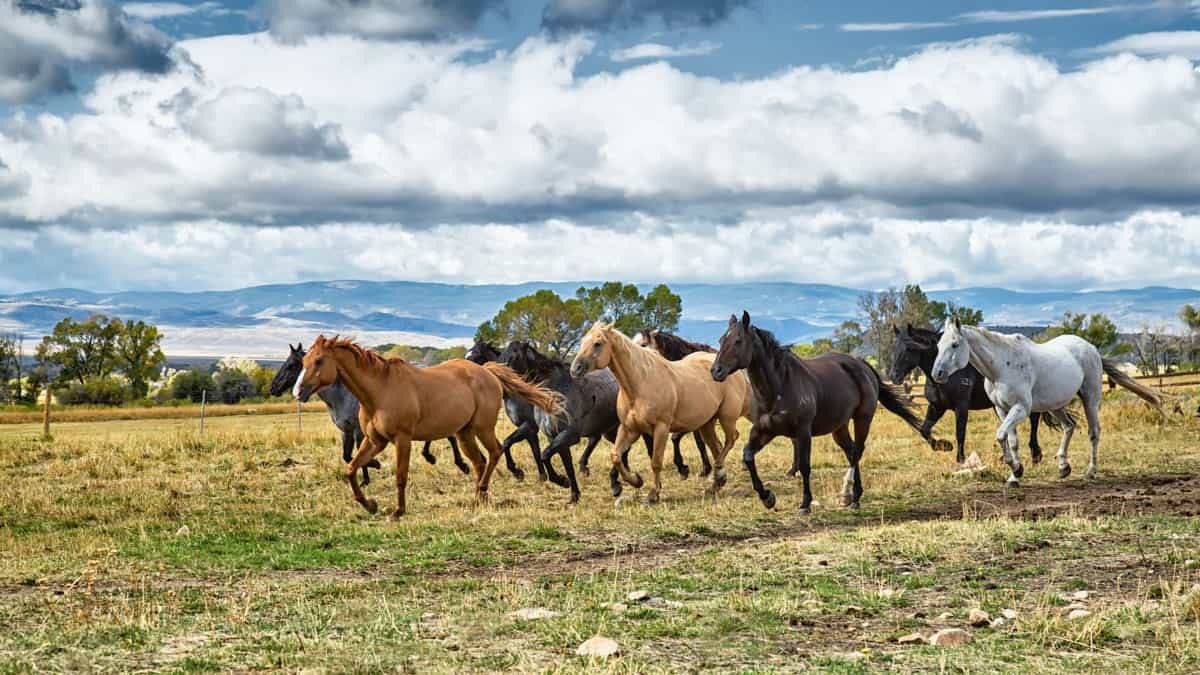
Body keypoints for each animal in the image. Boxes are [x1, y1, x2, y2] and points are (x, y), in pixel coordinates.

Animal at [295, 333, 566, 514]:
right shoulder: (375, 441)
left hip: (482, 428)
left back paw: (487, 489)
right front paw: (370, 505)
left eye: (319, 361)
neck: (379, 390)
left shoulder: (402, 440)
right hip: (464, 433)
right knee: (479, 461)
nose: (298, 391)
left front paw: (398, 511)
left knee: (496, 451)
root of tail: (488, 372)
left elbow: (400, 476)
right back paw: (479, 498)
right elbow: (351, 468)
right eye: (304, 361)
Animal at [571, 321, 748, 504]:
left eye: (597, 343)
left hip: (727, 417)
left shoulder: (661, 428)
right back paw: (717, 481)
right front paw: (636, 481)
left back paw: (718, 473)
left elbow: (656, 461)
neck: (641, 383)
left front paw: (653, 494)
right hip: (706, 423)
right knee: (716, 445)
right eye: (582, 341)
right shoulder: (629, 429)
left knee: (731, 439)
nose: (575, 369)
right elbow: (616, 456)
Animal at [705, 312, 931, 511]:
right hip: (839, 427)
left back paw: (847, 494)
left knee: (857, 451)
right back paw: (854, 498)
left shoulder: (803, 432)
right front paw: (767, 497)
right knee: (851, 451)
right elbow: (748, 456)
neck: (779, 387)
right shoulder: (764, 430)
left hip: (863, 419)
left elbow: (805, 466)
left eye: (738, 341)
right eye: (721, 339)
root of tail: (862, 365)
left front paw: (805, 504)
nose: (716, 371)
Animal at [926, 319, 1161, 482]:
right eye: (938, 345)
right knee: (1069, 426)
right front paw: (1015, 475)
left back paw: (1090, 472)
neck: (1001, 367)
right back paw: (1064, 467)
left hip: (1090, 398)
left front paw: (1016, 468)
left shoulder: (1021, 409)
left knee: (1093, 433)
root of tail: (1092, 348)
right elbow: (1012, 441)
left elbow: (1001, 435)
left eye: (955, 344)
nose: (937, 373)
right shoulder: (1003, 410)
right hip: (1056, 404)